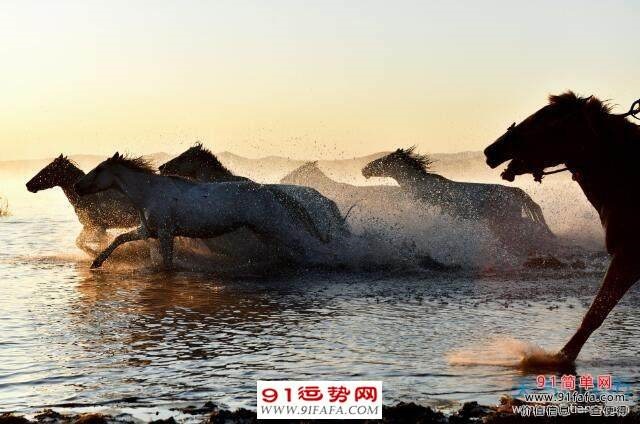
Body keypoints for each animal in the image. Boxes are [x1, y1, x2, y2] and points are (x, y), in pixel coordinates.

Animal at [74, 153, 332, 269]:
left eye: (99, 169)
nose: (77, 186)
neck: (148, 193)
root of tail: (266, 189)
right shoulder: (149, 231)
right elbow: (119, 239)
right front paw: (96, 262)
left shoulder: (166, 233)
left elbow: (167, 264)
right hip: (264, 231)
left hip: (272, 226)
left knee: (300, 244)